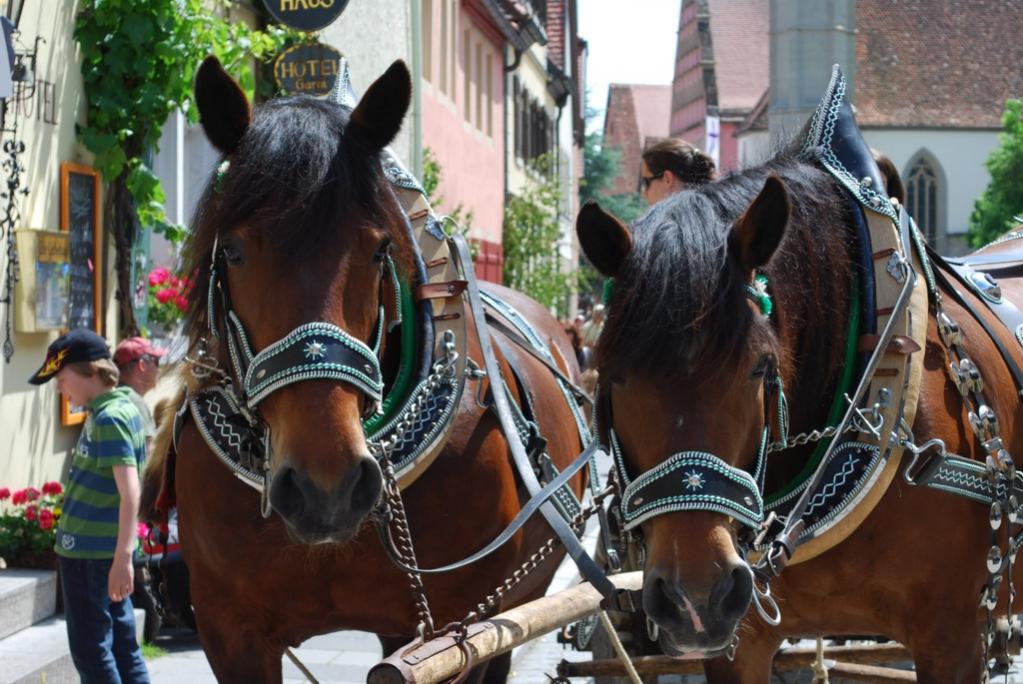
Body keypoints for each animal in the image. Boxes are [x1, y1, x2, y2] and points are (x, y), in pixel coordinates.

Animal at [141, 57, 588, 682]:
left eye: (379, 251)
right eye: (231, 251)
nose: (325, 488)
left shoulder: (454, 634)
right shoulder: (231, 635)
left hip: (511, 608)